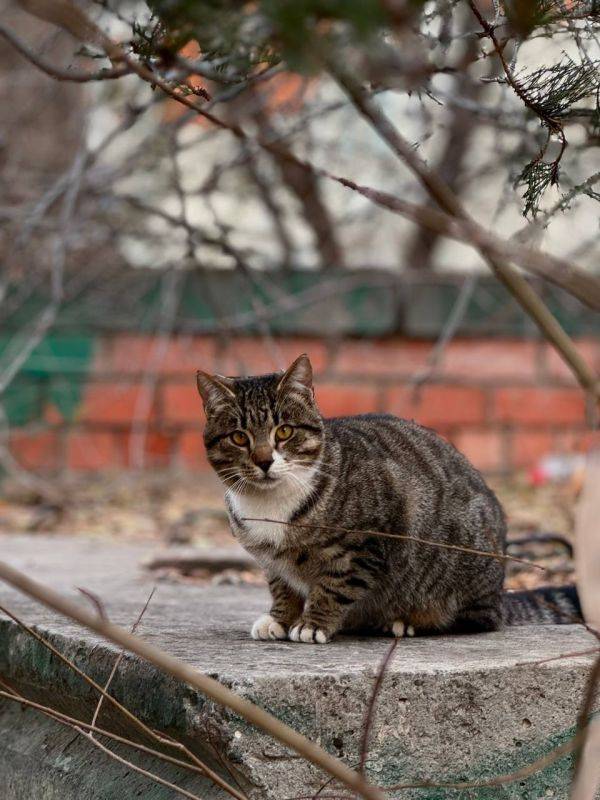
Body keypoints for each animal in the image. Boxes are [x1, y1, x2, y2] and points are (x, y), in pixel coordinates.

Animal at [197, 356, 580, 644]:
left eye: (285, 432)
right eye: (239, 437)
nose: (264, 461)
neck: (270, 506)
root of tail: (500, 592)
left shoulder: (365, 544)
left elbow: (334, 585)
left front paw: (314, 623)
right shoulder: (273, 564)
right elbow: (283, 588)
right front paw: (280, 619)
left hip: (461, 573)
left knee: (477, 620)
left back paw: (406, 621)